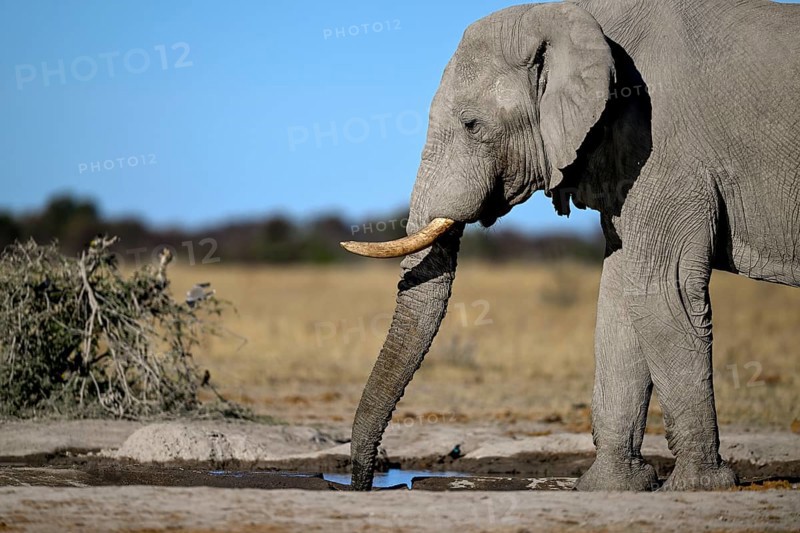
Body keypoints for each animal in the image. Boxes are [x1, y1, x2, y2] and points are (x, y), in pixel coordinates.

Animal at [340, 0, 800, 491]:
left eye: (471, 124)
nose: (367, 485)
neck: (575, 16)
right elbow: (620, 298)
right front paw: (612, 488)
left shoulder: (667, 150)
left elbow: (663, 290)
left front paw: (697, 489)